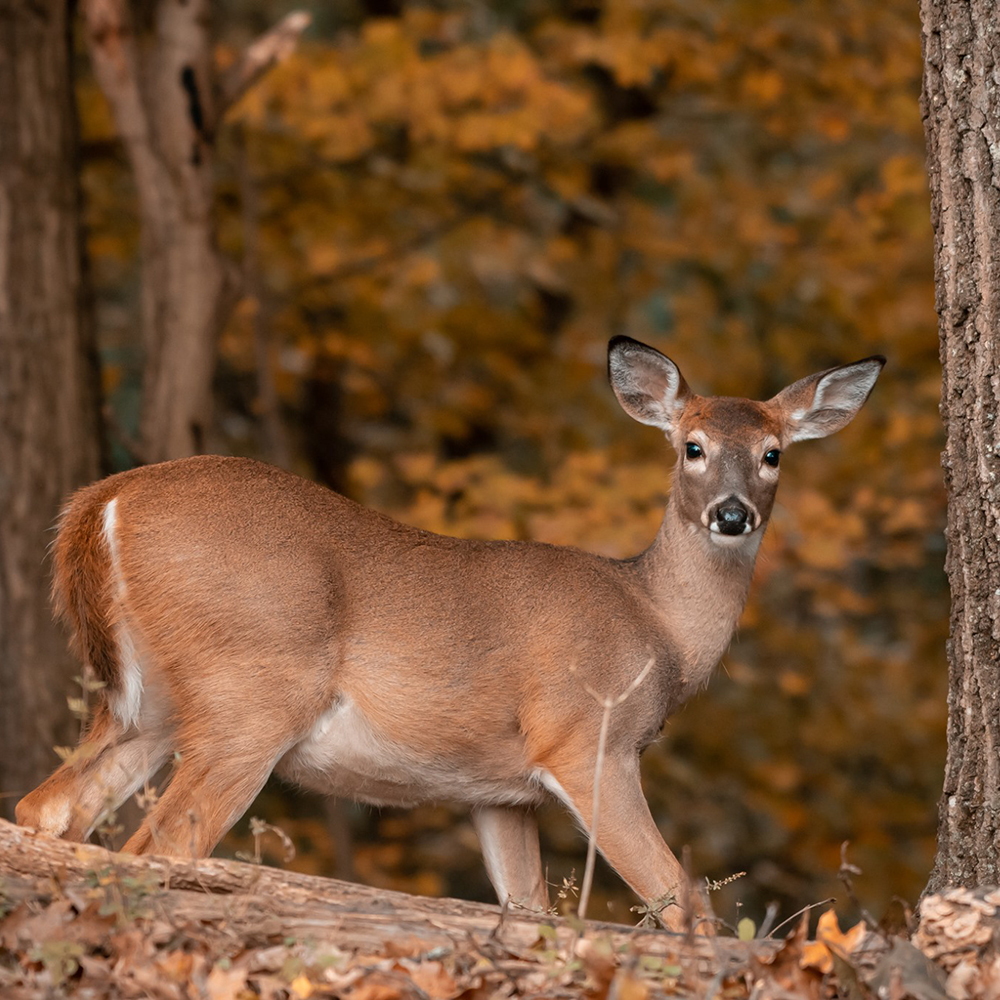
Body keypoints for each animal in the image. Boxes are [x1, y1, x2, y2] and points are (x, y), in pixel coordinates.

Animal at [16, 336, 884, 930]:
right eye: (692, 447)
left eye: (773, 454)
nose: (731, 514)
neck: (657, 624)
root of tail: (101, 502)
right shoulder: (586, 738)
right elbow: (683, 903)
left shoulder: (500, 793)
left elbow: (529, 911)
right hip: (249, 695)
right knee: (157, 848)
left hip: (149, 703)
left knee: (49, 811)